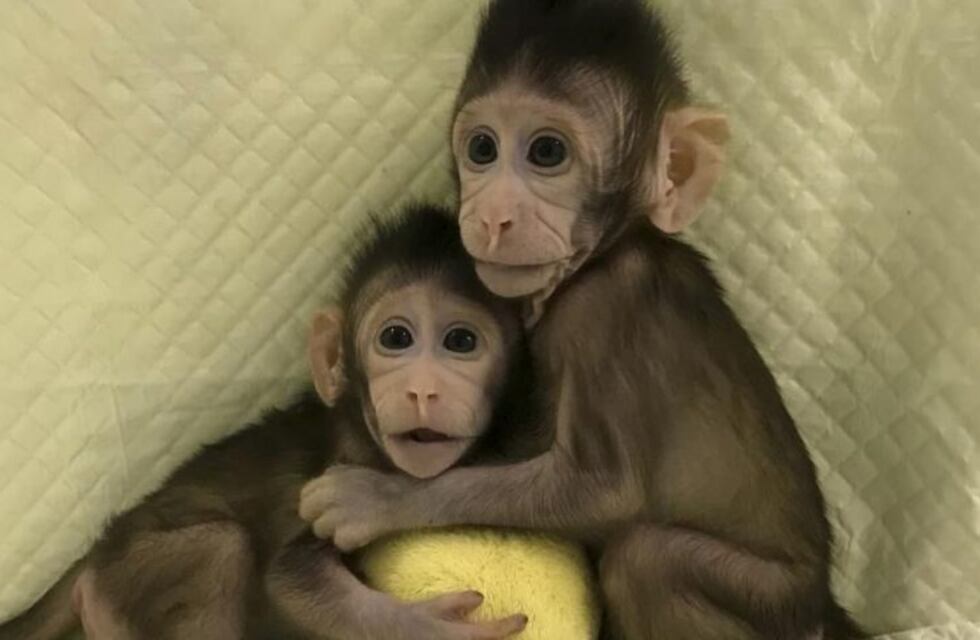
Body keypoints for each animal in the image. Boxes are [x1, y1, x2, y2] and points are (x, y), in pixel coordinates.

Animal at [0, 204, 531, 640]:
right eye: (396, 338)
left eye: (460, 342)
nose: (422, 389)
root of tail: (98, 552)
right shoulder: (337, 470)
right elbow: (291, 578)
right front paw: (427, 627)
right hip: (133, 571)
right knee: (222, 548)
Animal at [299, 1, 866, 639]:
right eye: (482, 149)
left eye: (547, 153)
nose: (493, 216)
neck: (609, 251)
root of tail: (822, 607)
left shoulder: (600, 313)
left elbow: (604, 490)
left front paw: (378, 498)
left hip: (769, 600)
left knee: (645, 557)